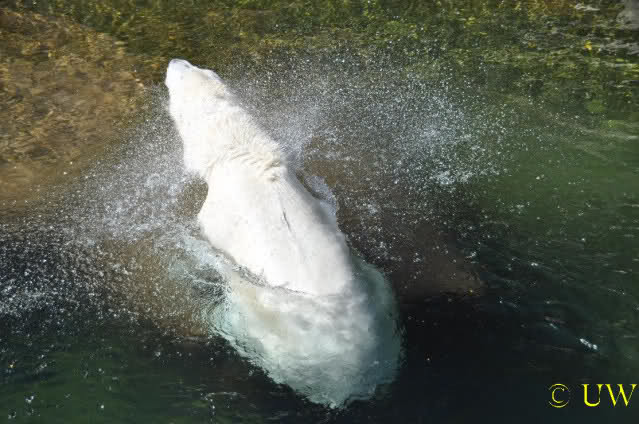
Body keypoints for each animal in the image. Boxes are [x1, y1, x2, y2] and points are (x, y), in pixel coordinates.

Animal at [165, 59, 401, 407]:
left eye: (181, 77)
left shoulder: (217, 216)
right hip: (380, 295)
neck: (244, 156)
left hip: (260, 327)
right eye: (200, 68)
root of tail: (349, 386)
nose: (175, 62)